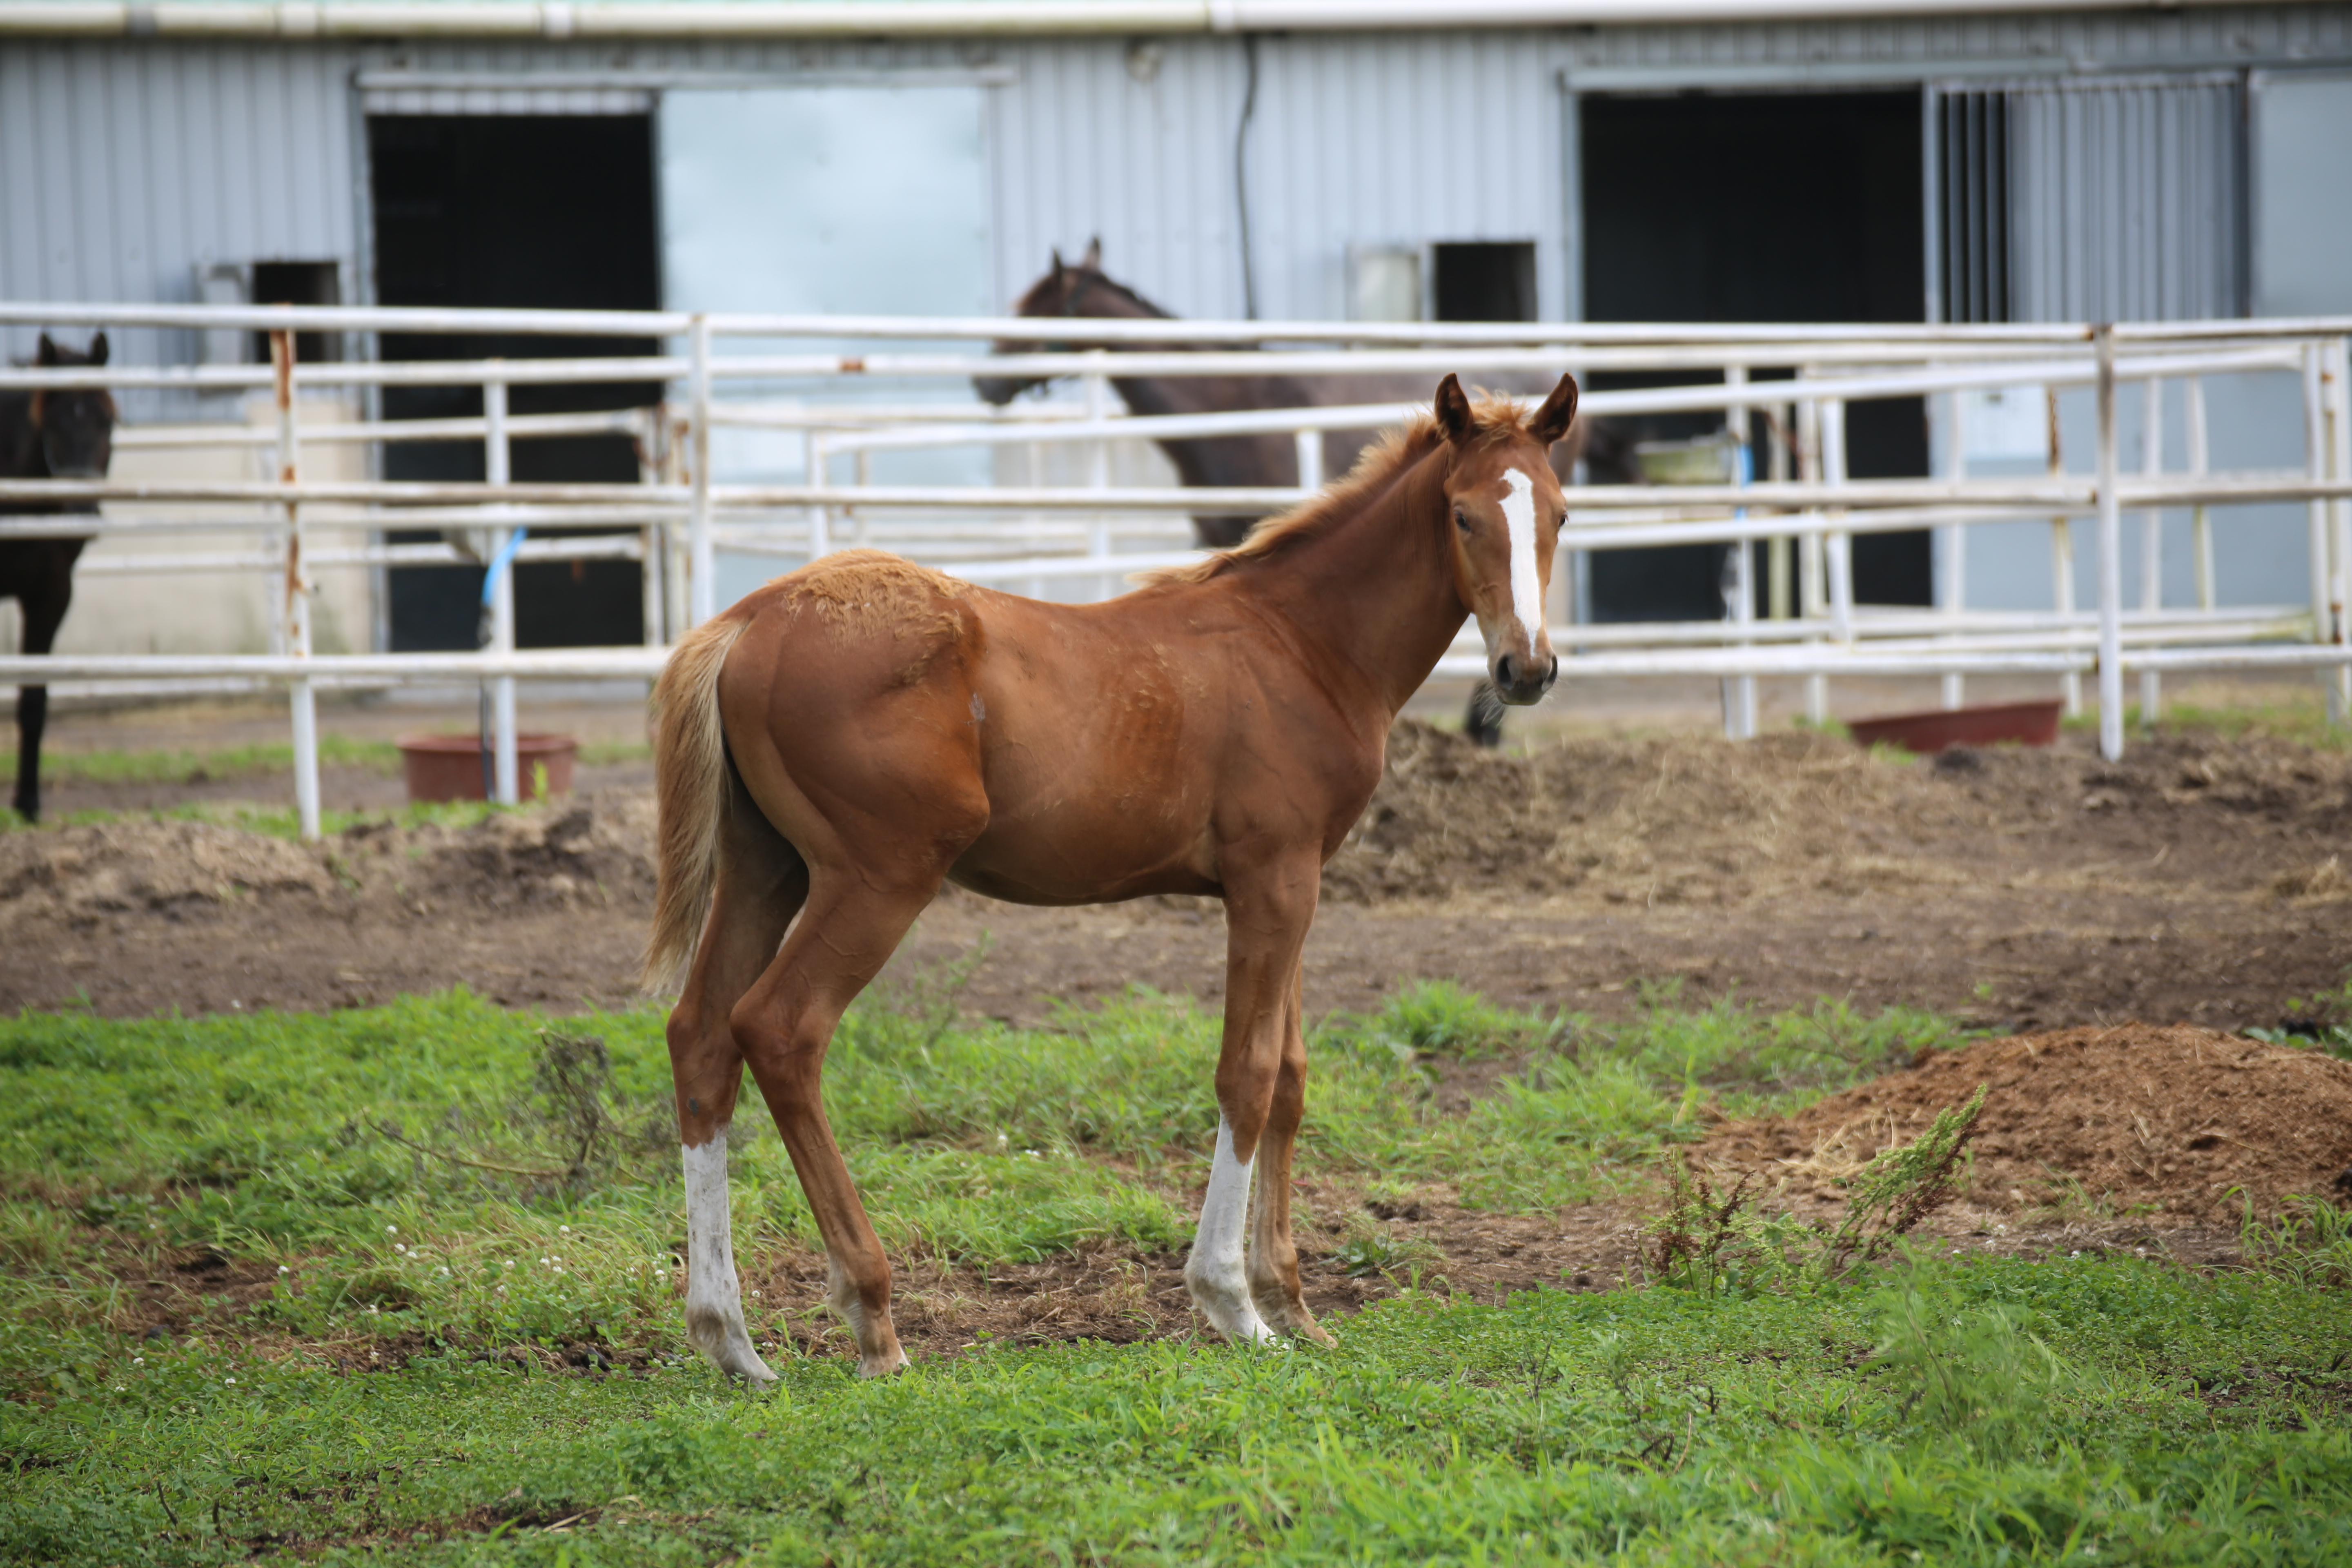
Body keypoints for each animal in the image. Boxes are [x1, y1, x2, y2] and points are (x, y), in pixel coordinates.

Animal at [644, 374, 1580, 1382]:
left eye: (1561, 514)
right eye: (1462, 515)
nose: (1526, 669)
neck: (1301, 642)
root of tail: (746, 620)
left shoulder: (1295, 883)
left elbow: (1290, 1078)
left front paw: (1293, 1305)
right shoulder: (1274, 880)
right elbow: (1247, 1074)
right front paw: (1233, 1303)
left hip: (764, 869)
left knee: (702, 1037)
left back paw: (731, 1338)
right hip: (878, 879)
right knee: (782, 1030)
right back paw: (873, 1319)